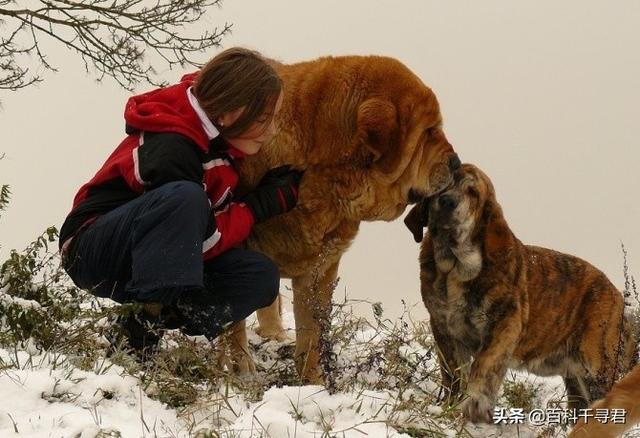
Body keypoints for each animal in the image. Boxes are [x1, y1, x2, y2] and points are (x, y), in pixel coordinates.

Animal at [230, 54, 460, 384]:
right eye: (429, 131)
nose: (456, 163)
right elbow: (233, 324)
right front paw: (240, 370)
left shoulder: (320, 269)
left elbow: (312, 335)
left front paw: (312, 383)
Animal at [402, 163, 636, 420]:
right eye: (443, 186)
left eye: (473, 192)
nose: (447, 201)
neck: (454, 272)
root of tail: (617, 298)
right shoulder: (444, 330)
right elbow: (453, 375)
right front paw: (448, 408)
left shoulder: (504, 327)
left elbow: (482, 367)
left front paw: (470, 407)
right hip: (577, 381)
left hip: (597, 370)